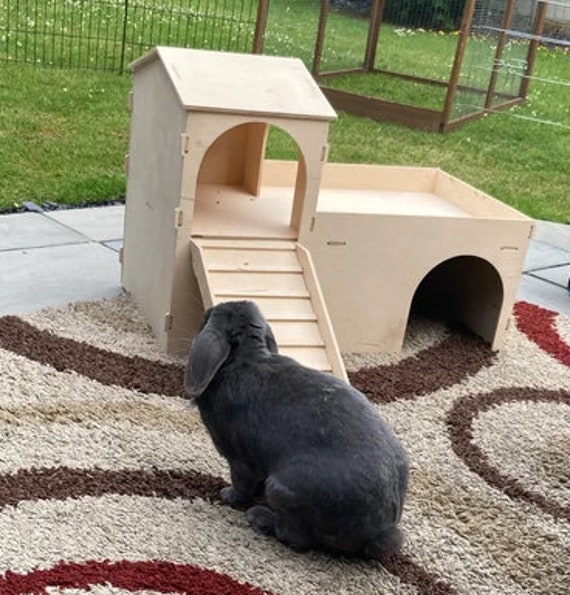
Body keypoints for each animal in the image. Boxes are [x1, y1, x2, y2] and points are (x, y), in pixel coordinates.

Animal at [186, 302, 408, 560]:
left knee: (295, 538)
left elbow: (241, 483)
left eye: (207, 318)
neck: (247, 357)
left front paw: (227, 495)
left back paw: (259, 517)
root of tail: (378, 533)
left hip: (281, 489)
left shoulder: (239, 460)